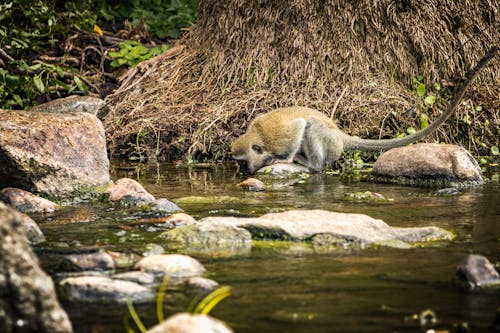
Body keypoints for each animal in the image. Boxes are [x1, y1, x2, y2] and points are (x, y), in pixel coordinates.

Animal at [230, 48, 496, 176]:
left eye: (243, 161)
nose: (242, 171)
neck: (258, 136)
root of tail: (341, 136)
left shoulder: (280, 138)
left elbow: (298, 128)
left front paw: (284, 159)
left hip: (330, 143)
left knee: (313, 127)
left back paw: (311, 164)